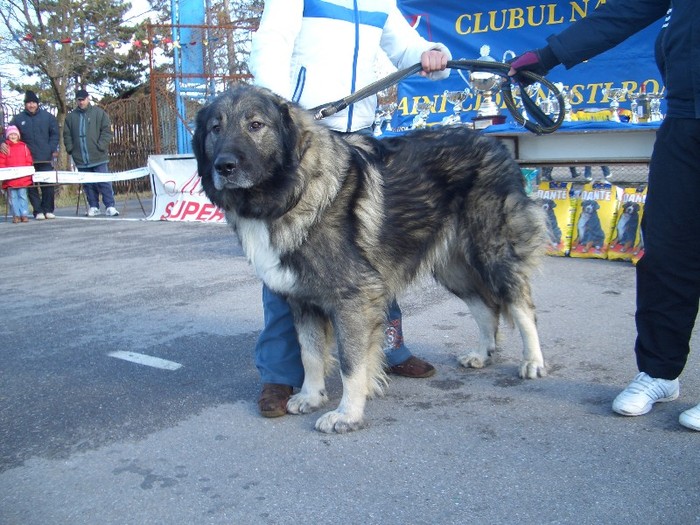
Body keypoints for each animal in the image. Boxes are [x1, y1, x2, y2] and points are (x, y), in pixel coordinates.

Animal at [194, 84, 548, 432]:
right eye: (215, 128)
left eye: (256, 125)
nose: (224, 166)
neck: (292, 191)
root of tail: (493, 143)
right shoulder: (301, 299)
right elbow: (310, 353)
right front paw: (311, 395)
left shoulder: (354, 297)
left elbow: (351, 363)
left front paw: (347, 414)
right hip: (453, 268)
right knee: (485, 306)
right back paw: (482, 353)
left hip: (492, 254)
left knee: (521, 305)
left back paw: (533, 361)